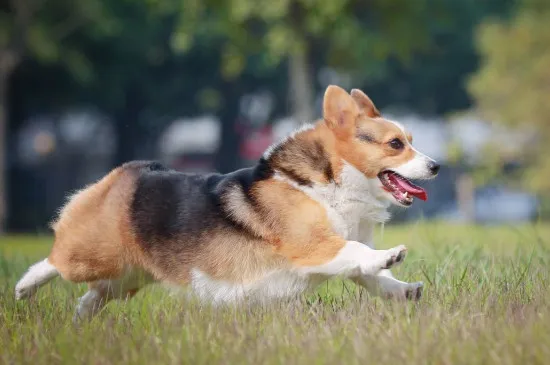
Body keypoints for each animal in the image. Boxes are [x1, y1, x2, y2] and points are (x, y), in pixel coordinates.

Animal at [15, 84, 442, 318]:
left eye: (410, 140)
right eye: (395, 144)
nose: (437, 166)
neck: (332, 181)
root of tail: (127, 172)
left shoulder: (333, 253)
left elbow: (369, 275)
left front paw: (403, 290)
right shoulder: (314, 246)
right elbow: (360, 254)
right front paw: (391, 255)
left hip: (130, 275)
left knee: (95, 295)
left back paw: (80, 318)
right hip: (91, 256)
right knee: (54, 260)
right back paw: (23, 288)